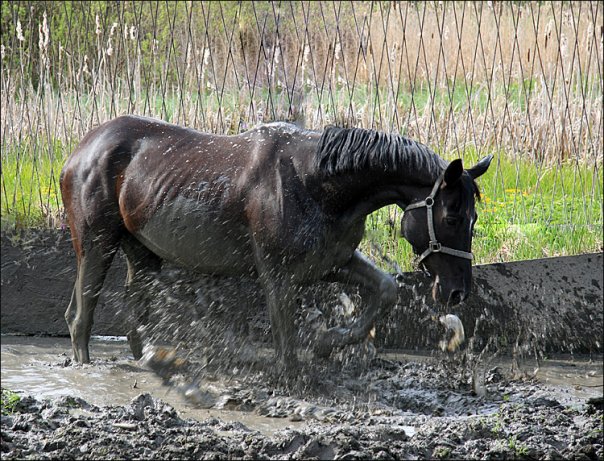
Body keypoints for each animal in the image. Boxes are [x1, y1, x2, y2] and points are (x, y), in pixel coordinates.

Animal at [60, 115, 490, 370]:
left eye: (473, 220)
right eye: (452, 217)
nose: (457, 292)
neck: (315, 181)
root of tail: (82, 149)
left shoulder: (332, 262)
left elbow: (384, 289)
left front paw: (327, 341)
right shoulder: (278, 277)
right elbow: (285, 344)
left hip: (143, 253)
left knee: (135, 317)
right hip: (96, 245)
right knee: (80, 315)